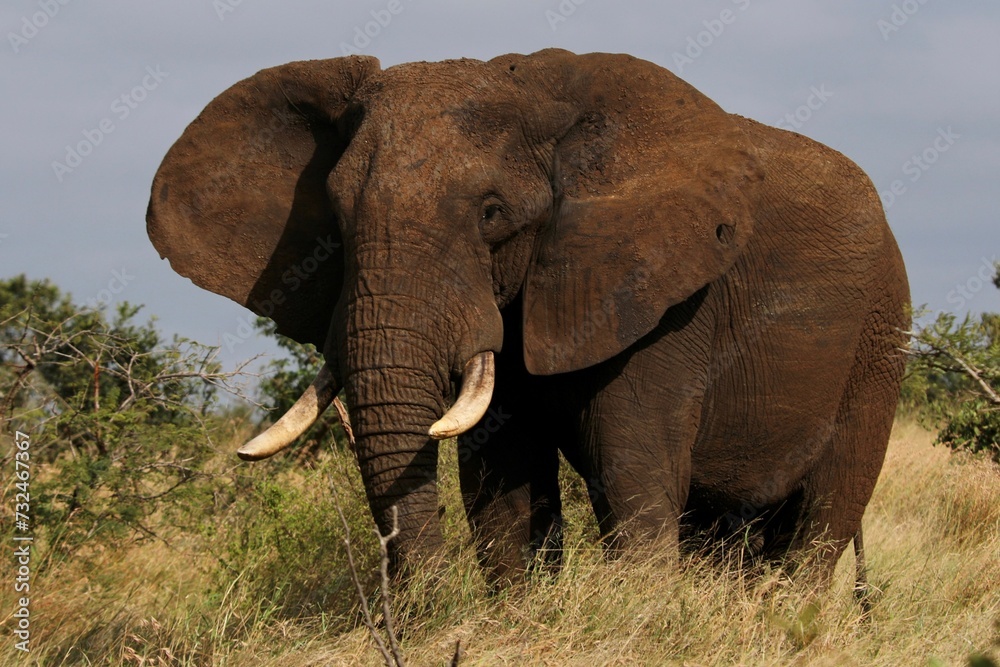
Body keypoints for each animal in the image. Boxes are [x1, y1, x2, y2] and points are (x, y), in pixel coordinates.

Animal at [146, 49, 910, 587]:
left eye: (492, 214)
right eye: (335, 215)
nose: (419, 617)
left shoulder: (666, 302)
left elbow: (632, 475)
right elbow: (502, 482)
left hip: (879, 337)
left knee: (822, 518)